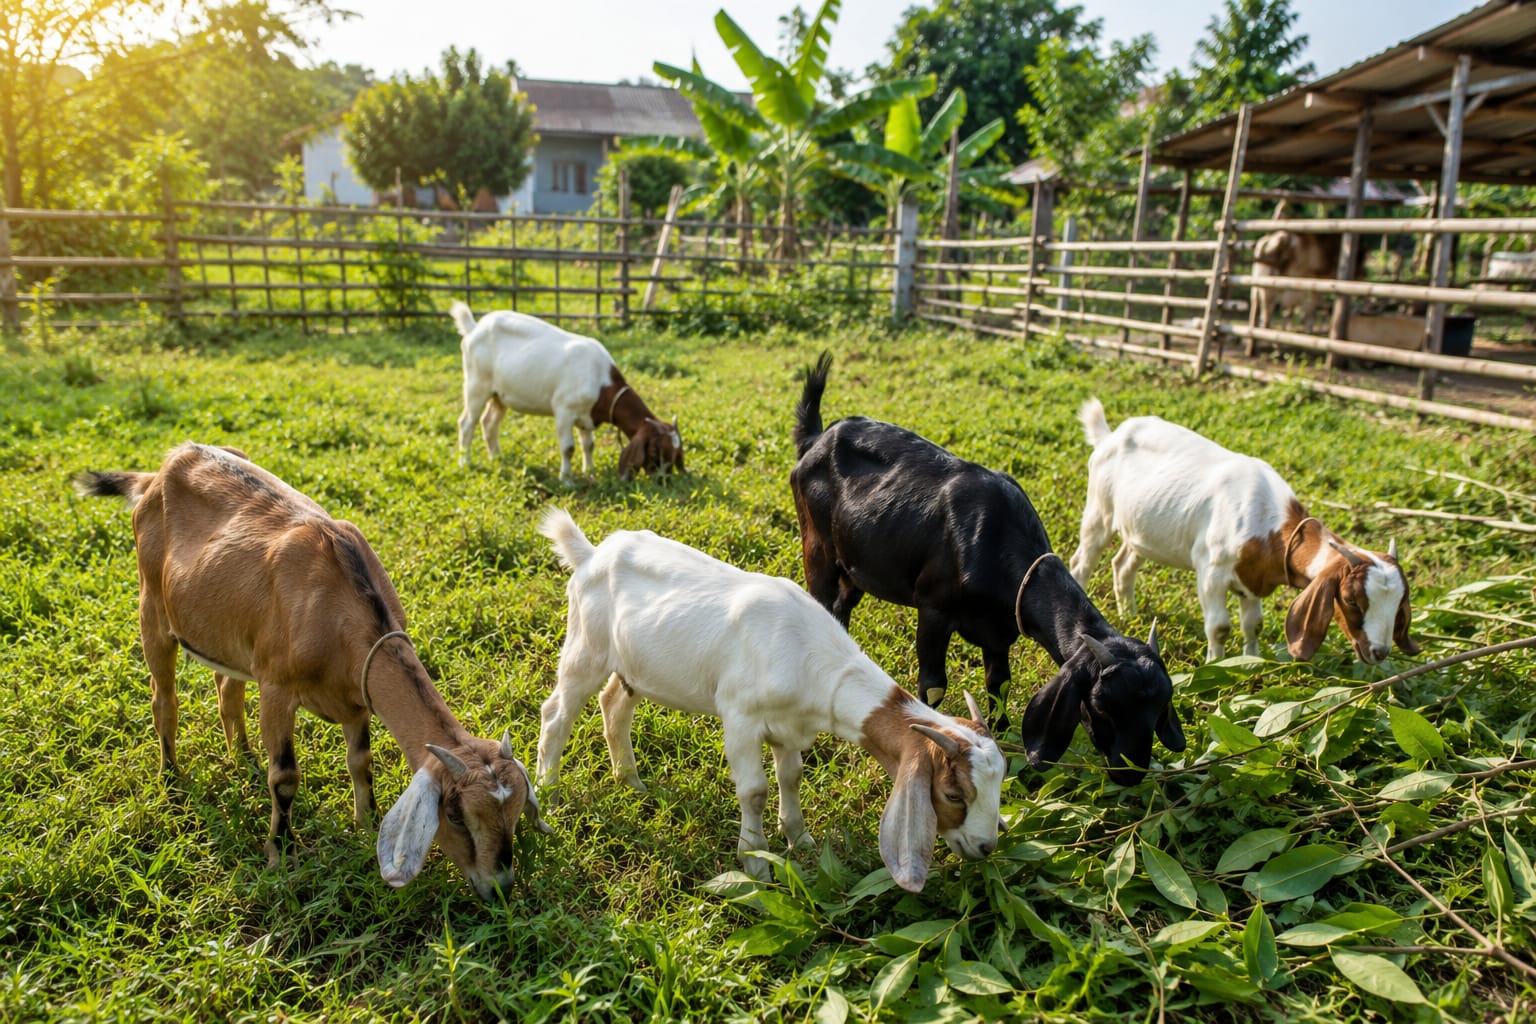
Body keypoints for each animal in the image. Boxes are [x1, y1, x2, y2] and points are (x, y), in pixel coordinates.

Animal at [73, 442, 551, 900]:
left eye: (514, 812)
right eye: (454, 813)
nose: (499, 886)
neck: (337, 604)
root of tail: (160, 470)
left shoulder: (357, 696)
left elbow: (361, 762)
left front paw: (365, 822)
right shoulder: (276, 687)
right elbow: (285, 777)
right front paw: (279, 853)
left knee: (227, 688)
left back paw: (243, 757)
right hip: (152, 607)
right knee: (164, 699)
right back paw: (172, 778)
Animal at [451, 302, 683, 483]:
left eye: (674, 453)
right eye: (654, 451)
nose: (663, 480)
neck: (601, 381)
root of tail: (473, 328)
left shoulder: (586, 415)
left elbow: (589, 445)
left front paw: (590, 472)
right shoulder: (564, 410)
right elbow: (568, 448)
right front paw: (567, 479)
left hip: (499, 395)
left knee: (489, 422)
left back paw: (497, 458)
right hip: (476, 385)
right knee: (467, 423)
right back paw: (465, 463)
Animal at [535, 507, 1006, 893]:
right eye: (953, 794)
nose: (986, 846)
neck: (810, 656)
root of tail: (592, 554)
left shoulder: (790, 726)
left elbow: (791, 776)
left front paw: (800, 839)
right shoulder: (740, 718)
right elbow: (755, 790)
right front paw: (755, 861)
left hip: (632, 664)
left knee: (615, 702)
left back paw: (630, 781)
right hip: (586, 647)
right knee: (557, 713)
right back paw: (549, 791)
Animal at [790, 353, 1183, 785]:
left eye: (1160, 706)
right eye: (1100, 706)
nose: (1131, 773)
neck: (996, 540)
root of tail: (817, 438)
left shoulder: (1000, 632)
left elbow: (999, 684)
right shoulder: (934, 607)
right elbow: (933, 686)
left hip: (855, 565)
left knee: (841, 608)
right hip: (817, 546)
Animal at [1069, 398, 1421, 665]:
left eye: (1400, 602)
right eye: (1351, 600)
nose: (1380, 651)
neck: (1268, 524)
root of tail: (1109, 436)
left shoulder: (1253, 579)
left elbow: (1254, 625)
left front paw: (1250, 660)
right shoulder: (1211, 570)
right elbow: (1219, 627)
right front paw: (1214, 663)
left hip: (1142, 530)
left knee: (1123, 563)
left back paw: (1129, 614)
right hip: (1099, 510)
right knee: (1082, 561)